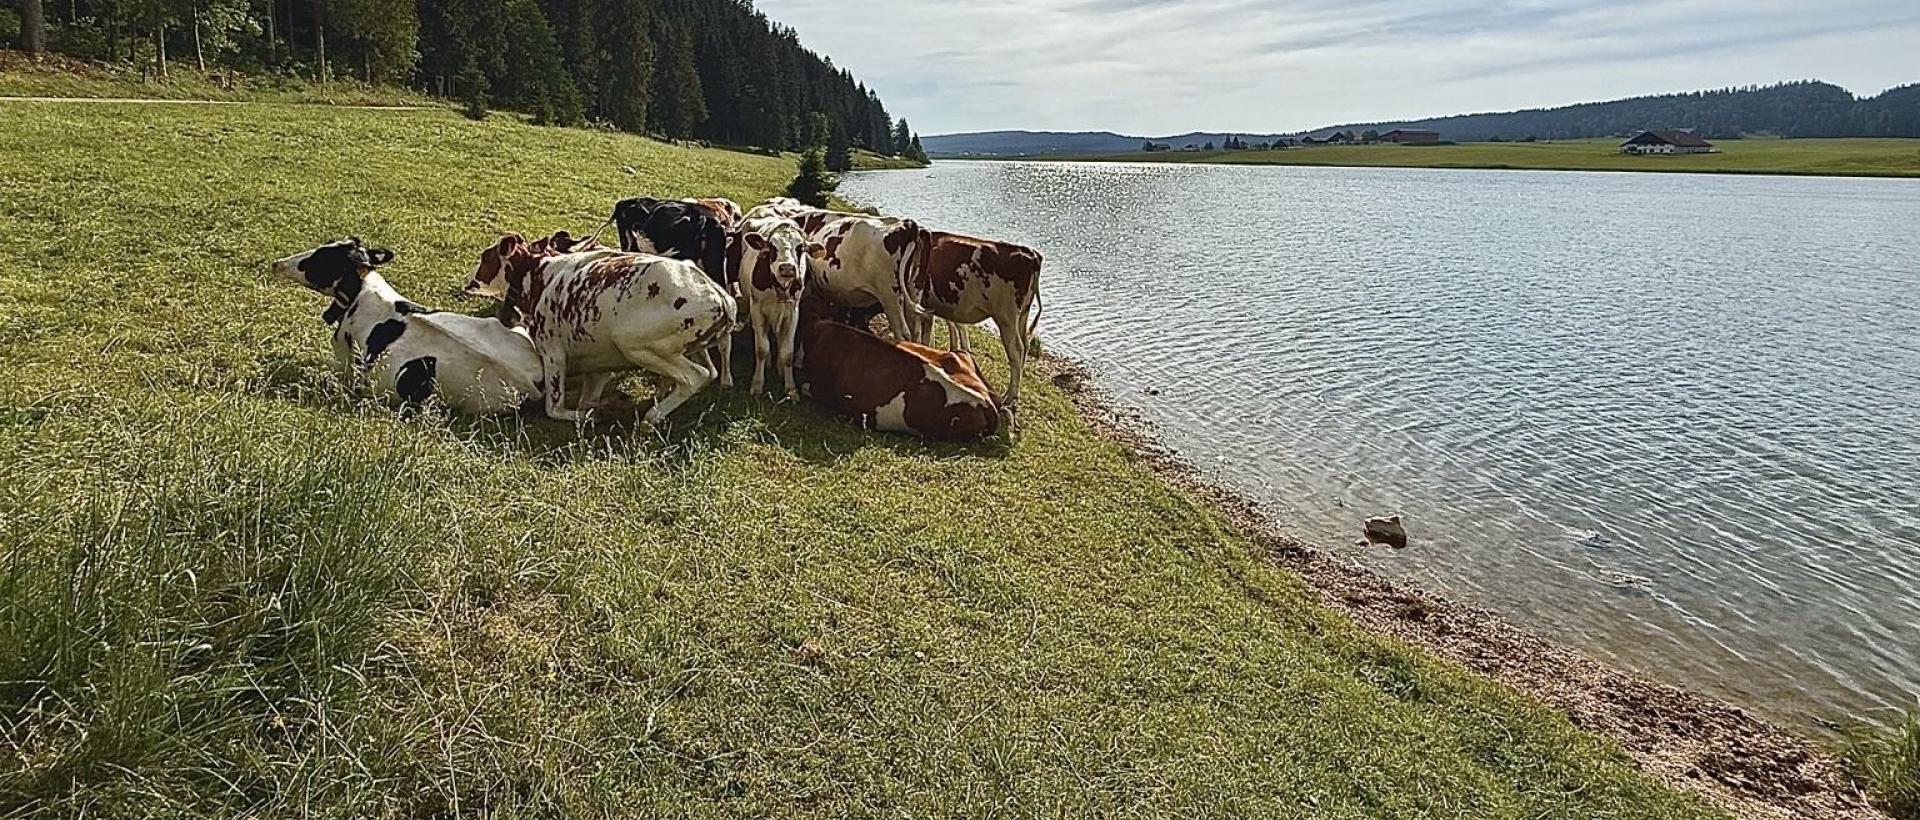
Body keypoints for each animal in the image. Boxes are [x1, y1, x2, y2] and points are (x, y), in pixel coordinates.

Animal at [483, 234, 735, 424]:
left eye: (486, 257)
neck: (541, 276)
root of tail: (721, 298)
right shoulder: (598, 364)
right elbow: (588, 398)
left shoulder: (553, 353)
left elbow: (555, 408)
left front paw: (587, 415)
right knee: (713, 371)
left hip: (636, 345)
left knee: (695, 376)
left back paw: (651, 417)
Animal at [727, 215, 823, 395]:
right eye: (772, 246)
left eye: (801, 247)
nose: (787, 268)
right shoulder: (757, 310)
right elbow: (761, 348)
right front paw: (757, 384)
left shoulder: (792, 312)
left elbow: (788, 352)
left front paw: (791, 388)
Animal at [906, 232, 1043, 409]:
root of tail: (1030, 253)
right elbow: (950, 326)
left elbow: (925, 333)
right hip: (1022, 316)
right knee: (1025, 346)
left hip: (1006, 318)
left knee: (1017, 350)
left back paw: (1010, 397)